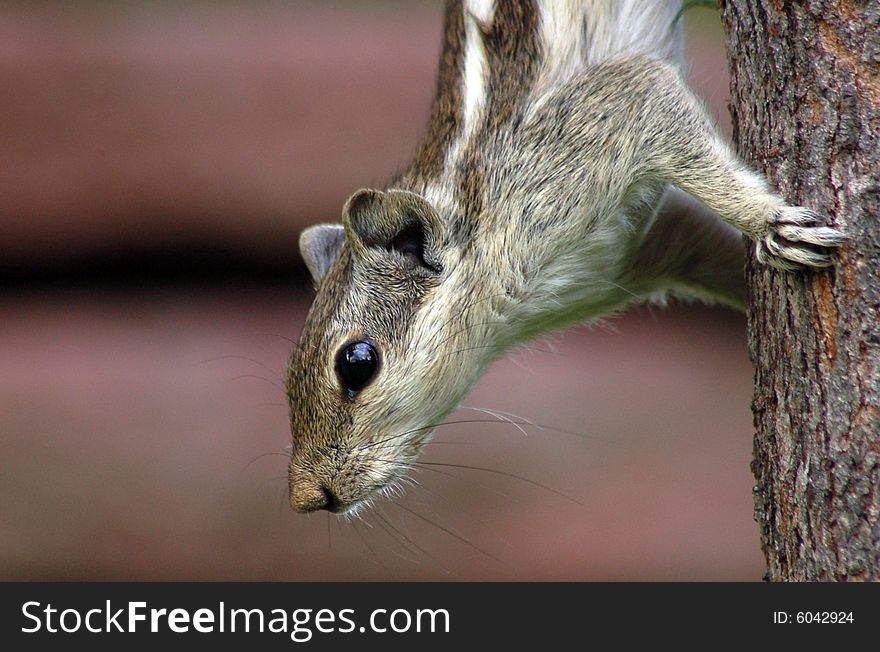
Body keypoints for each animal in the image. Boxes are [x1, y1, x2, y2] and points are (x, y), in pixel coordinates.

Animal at [286, 2, 844, 516]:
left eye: (357, 363)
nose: (306, 498)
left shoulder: (602, 114)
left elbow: (650, 99)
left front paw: (770, 223)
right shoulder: (649, 247)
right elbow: (709, 248)